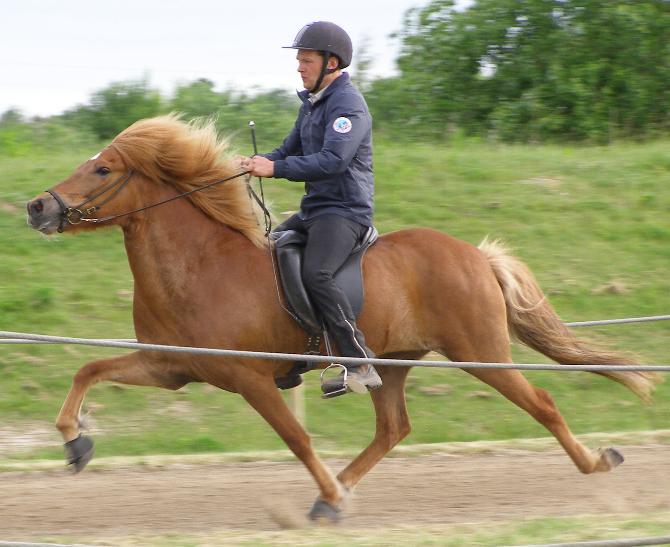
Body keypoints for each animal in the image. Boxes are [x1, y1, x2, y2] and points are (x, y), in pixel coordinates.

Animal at [26, 114, 660, 524]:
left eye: (103, 170)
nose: (36, 207)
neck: (198, 266)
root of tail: (475, 255)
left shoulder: (252, 377)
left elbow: (297, 438)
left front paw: (326, 488)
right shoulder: (170, 368)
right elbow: (89, 370)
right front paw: (75, 444)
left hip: (479, 352)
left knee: (542, 403)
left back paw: (598, 462)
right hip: (392, 362)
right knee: (393, 428)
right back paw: (335, 495)